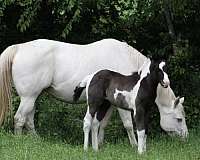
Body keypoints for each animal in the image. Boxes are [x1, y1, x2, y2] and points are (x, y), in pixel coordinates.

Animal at [0, 38, 188, 144]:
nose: (186, 138)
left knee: (29, 119)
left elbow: (102, 123)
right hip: (28, 97)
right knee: (19, 119)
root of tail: (19, 48)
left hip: (33, 97)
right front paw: (134, 145)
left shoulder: (109, 103)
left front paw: (100, 143)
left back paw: (35, 141)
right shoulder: (124, 105)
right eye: (179, 119)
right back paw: (19, 141)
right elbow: (128, 124)